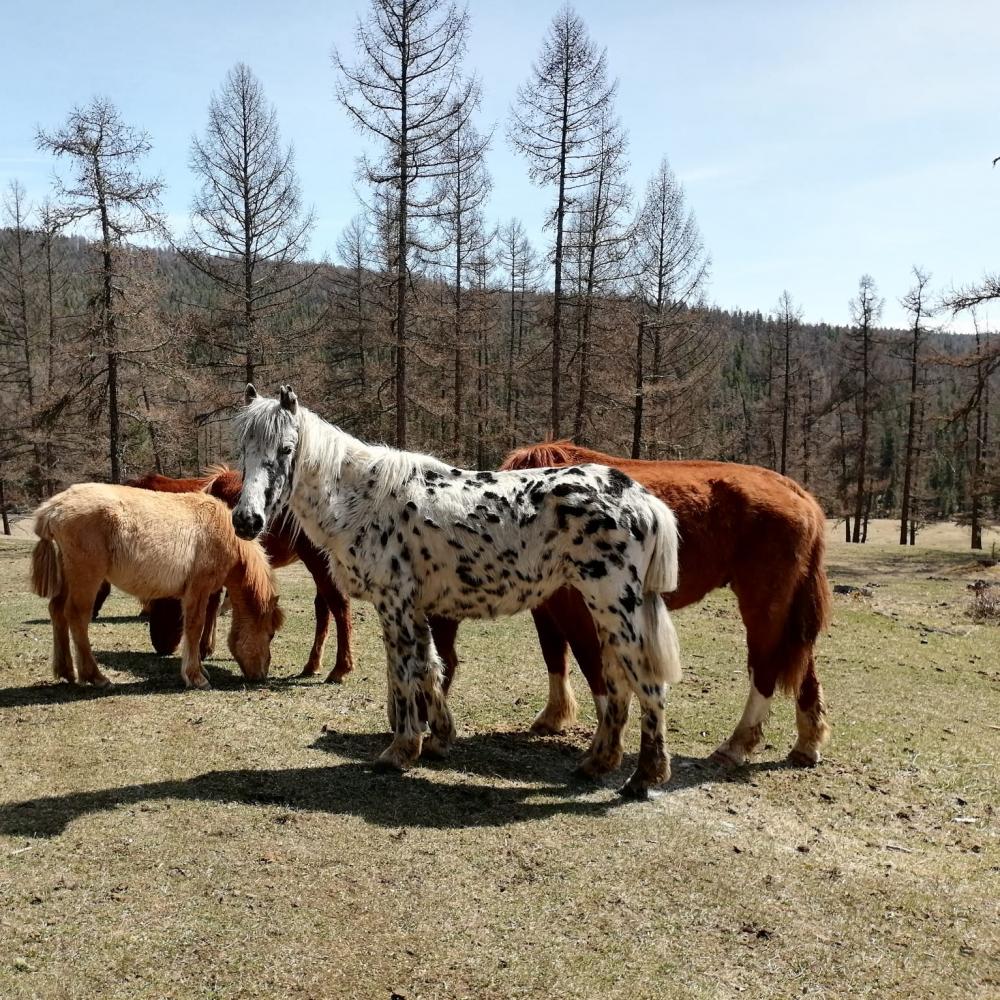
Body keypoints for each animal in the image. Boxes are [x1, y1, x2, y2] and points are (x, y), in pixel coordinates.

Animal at [28, 484, 286, 688]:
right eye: (270, 634)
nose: (262, 675)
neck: (225, 532)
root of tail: (54, 507)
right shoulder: (198, 590)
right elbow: (194, 627)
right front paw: (195, 677)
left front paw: (199, 670)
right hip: (86, 577)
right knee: (77, 617)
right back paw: (96, 677)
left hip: (68, 576)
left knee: (57, 611)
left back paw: (67, 672)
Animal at [91, 464, 356, 684]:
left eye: (159, 604)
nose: (161, 646)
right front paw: (207, 647)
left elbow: (210, 604)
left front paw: (203, 649)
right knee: (324, 609)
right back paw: (313, 665)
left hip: (320, 562)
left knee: (338, 606)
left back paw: (340, 669)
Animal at [232, 384, 688, 796]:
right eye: (242, 450)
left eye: (286, 449)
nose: (247, 520)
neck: (364, 501)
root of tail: (640, 497)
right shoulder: (415, 610)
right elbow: (430, 667)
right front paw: (438, 738)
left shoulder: (394, 604)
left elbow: (404, 673)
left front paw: (401, 749)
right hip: (608, 611)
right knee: (617, 680)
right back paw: (598, 762)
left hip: (613, 604)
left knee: (646, 681)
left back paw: (644, 776)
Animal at [434, 440, 832, 764]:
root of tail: (800, 494)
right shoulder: (547, 611)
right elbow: (555, 661)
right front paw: (554, 717)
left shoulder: (580, 613)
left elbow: (594, 671)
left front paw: (605, 742)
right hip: (786, 612)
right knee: (804, 670)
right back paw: (806, 745)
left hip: (762, 607)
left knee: (765, 669)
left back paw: (736, 746)